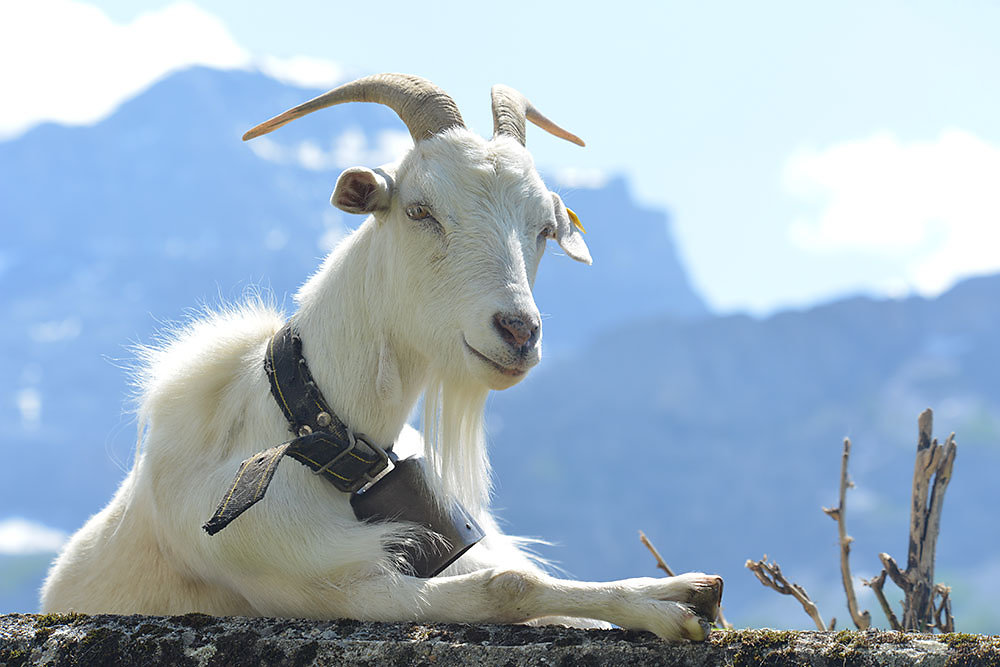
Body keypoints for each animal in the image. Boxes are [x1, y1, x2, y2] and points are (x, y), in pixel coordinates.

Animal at [43, 74, 724, 640]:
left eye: (544, 230)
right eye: (419, 210)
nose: (518, 331)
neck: (306, 433)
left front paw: (682, 589)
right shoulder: (324, 587)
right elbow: (507, 586)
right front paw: (667, 609)